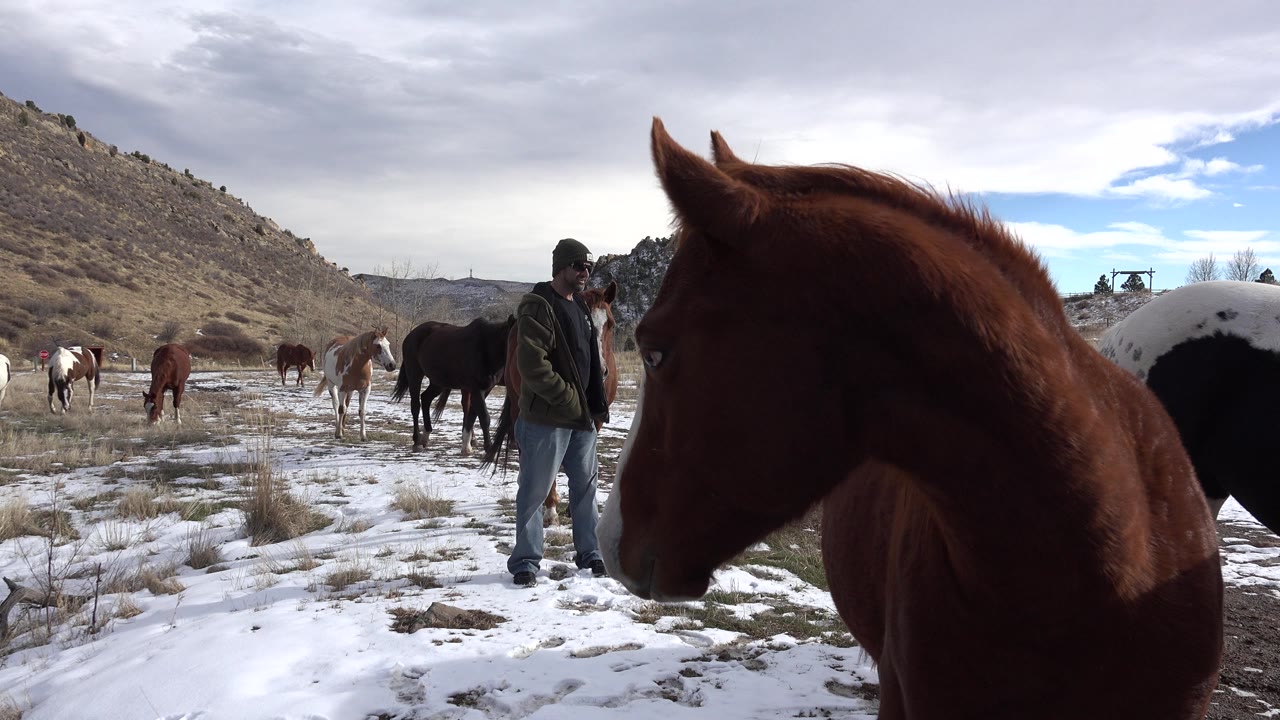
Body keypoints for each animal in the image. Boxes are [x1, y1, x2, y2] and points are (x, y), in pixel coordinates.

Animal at [390, 315, 516, 455]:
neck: (486, 347)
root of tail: (411, 335)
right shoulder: (477, 389)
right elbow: (484, 417)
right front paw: (489, 448)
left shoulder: (485, 389)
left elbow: (472, 415)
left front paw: (467, 445)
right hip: (415, 375)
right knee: (415, 405)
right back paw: (417, 441)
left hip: (438, 382)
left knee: (426, 398)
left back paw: (426, 436)